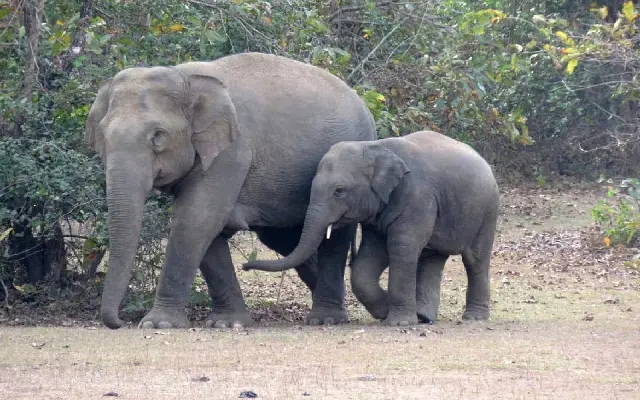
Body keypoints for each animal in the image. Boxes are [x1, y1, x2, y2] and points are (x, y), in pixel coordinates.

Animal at [85, 52, 377, 330]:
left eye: (158, 136)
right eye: (102, 136)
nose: (118, 322)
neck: (184, 76)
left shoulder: (232, 151)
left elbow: (196, 219)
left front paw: (159, 323)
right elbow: (207, 227)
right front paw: (227, 323)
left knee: (332, 238)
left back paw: (328, 318)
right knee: (285, 240)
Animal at [242, 130, 499, 326]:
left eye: (339, 191)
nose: (245, 266)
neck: (374, 147)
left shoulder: (418, 197)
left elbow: (401, 248)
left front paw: (399, 322)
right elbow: (370, 257)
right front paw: (387, 311)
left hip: (488, 210)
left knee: (475, 259)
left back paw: (473, 318)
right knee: (432, 259)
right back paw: (425, 317)